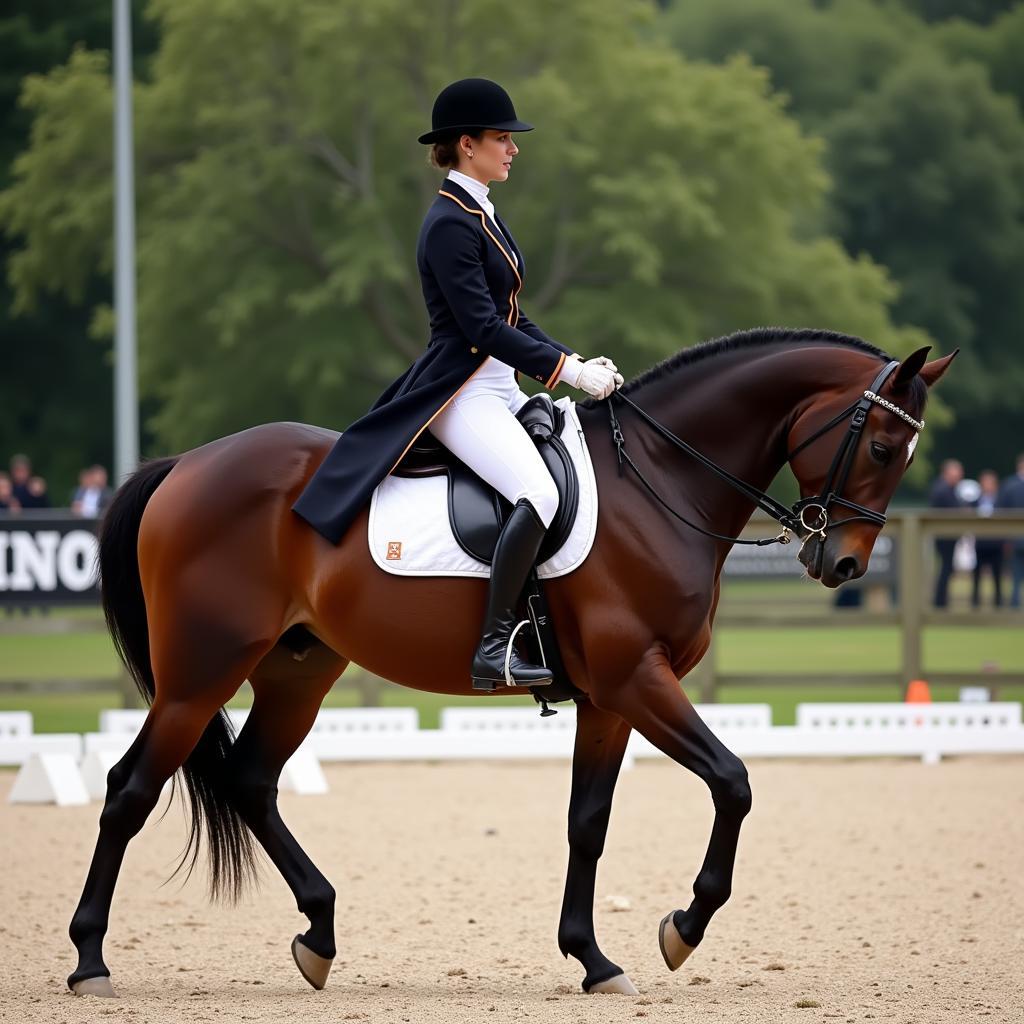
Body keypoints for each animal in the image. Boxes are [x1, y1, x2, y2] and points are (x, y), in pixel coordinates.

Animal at [68, 323, 954, 995]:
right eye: (881, 446)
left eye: (906, 455)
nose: (843, 565)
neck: (661, 481)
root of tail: (185, 466)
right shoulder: (638, 678)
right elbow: (733, 782)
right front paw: (684, 927)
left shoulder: (610, 698)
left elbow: (588, 822)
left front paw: (594, 960)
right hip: (199, 675)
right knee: (129, 790)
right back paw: (89, 961)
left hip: (297, 669)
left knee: (251, 781)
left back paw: (318, 936)